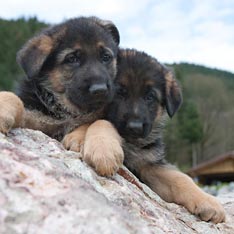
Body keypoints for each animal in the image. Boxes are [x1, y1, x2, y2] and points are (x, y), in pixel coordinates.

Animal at [64, 49, 225, 223]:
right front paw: (102, 150)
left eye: (150, 97)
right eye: (119, 93)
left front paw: (207, 201)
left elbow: (180, 178)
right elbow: (100, 120)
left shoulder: (149, 166)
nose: (135, 127)